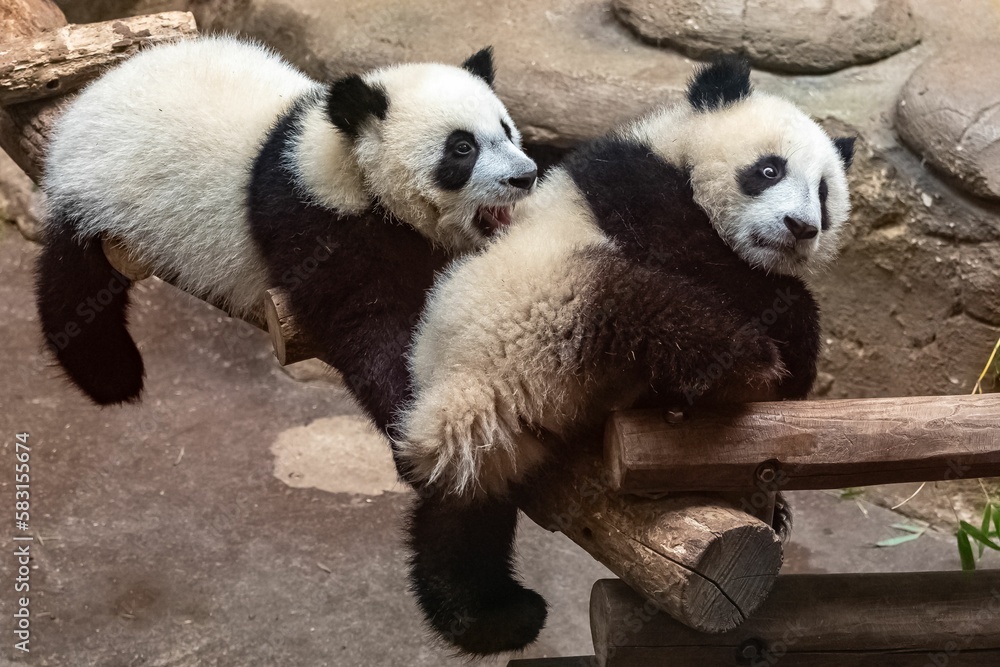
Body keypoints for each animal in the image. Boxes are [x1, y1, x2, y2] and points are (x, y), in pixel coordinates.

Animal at [35, 36, 536, 409]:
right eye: (462, 148)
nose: (525, 176)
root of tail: (92, 95)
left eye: (506, 130)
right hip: (98, 189)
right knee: (74, 285)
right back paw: (111, 374)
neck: (351, 160)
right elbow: (368, 325)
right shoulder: (315, 217)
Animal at [395, 57, 855, 654]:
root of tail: (470, 385)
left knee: (459, 516)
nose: (802, 228)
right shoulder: (632, 184)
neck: (677, 147)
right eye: (769, 170)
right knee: (650, 311)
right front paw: (798, 338)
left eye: (823, 193)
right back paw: (743, 367)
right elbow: (706, 259)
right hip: (549, 303)